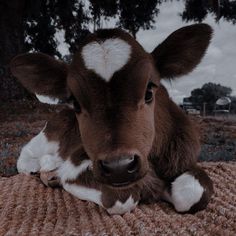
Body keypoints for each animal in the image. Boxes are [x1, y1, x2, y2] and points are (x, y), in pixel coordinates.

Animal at [10, 24, 214, 216]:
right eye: (75, 102)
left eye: (149, 91)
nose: (119, 167)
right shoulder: (78, 164)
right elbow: (121, 199)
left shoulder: (183, 159)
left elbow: (193, 193)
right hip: (49, 134)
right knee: (26, 156)